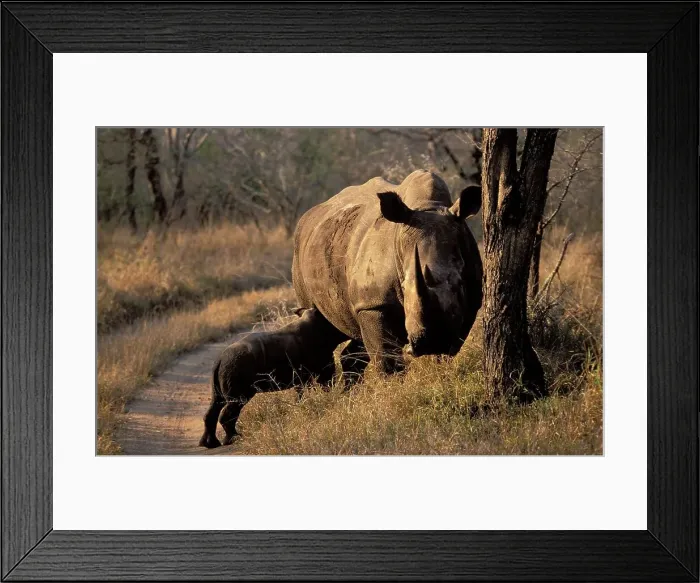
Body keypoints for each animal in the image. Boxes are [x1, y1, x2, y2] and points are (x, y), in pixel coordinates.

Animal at [292, 170, 483, 375]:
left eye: (459, 284)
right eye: (404, 286)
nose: (432, 342)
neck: (428, 206)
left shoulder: (471, 302)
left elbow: (446, 353)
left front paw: (441, 368)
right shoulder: (374, 304)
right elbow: (387, 360)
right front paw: (393, 381)